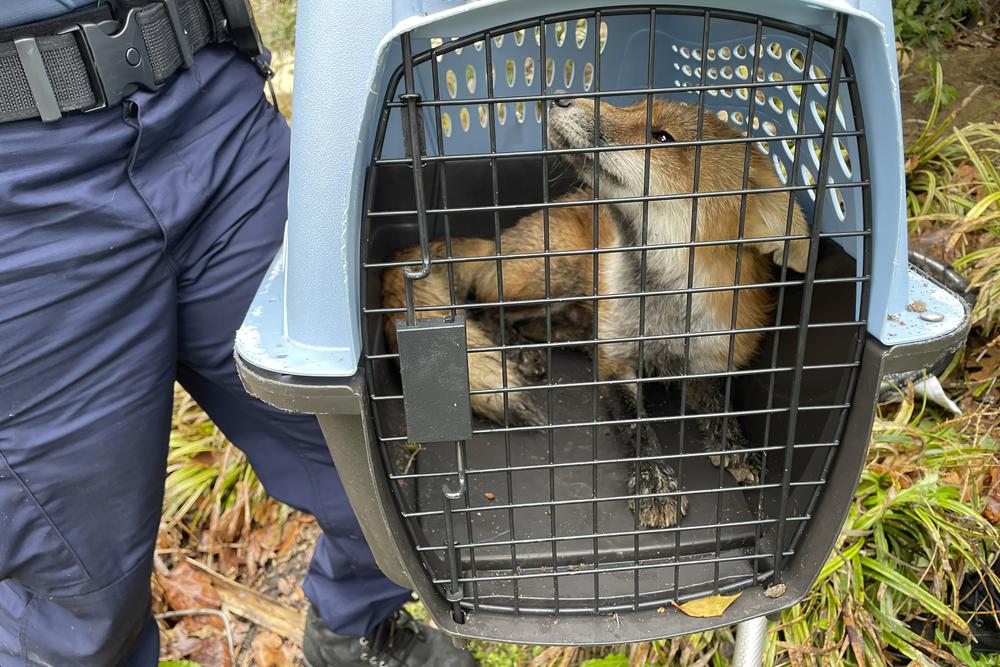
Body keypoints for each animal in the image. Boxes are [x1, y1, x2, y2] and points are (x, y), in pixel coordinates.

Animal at [378, 96, 808, 528]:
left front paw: (736, 445)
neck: (663, 312)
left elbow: (723, 403)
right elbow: (638, 426)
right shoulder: (616, 363)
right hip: (555, 271)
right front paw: (655, 482)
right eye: (634, 104)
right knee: (484, 308)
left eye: (662, 137)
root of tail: (496, 241)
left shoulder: (712, 356)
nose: (561, 97)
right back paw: (522, 352)